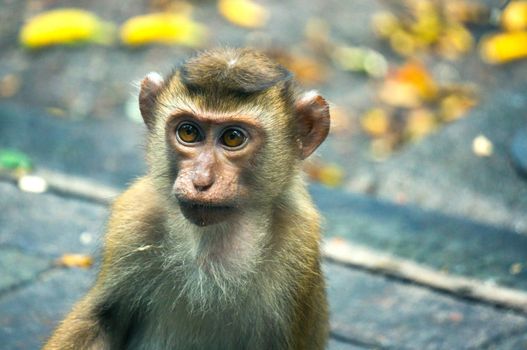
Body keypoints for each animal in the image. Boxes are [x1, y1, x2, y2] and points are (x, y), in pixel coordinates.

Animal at [44, 48, 330, 350]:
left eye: (233, 137)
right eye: (189, 132)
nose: (201, 181)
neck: (209, 246)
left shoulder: (298, 244)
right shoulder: (134, 218)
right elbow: (101, 319)